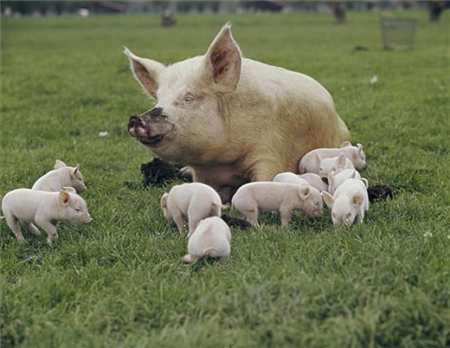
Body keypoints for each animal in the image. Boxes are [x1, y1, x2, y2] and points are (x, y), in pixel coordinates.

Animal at [125, 23, 350, 201]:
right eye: (159, 99)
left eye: (189, 98)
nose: (136, 119)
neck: (223, 162)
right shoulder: (203, 171)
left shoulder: (271, 150)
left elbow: (265, 177)